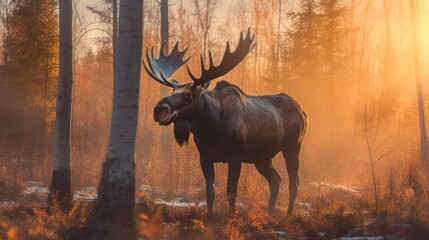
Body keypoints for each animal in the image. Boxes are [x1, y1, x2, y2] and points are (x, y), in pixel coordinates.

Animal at [144, 28, 308, 216]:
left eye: (188, 94)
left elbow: (231, 191)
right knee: (275, 180)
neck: (211, 130)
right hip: (262, 157)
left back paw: (287, 215)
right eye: (172, 91)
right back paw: (270, 213)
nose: (159, 109)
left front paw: (231, 216)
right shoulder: (205, 156)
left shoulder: (235, 155)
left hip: (292, 147)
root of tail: (303, 112)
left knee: (293, 182)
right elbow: (210, 191)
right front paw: (210, 215)